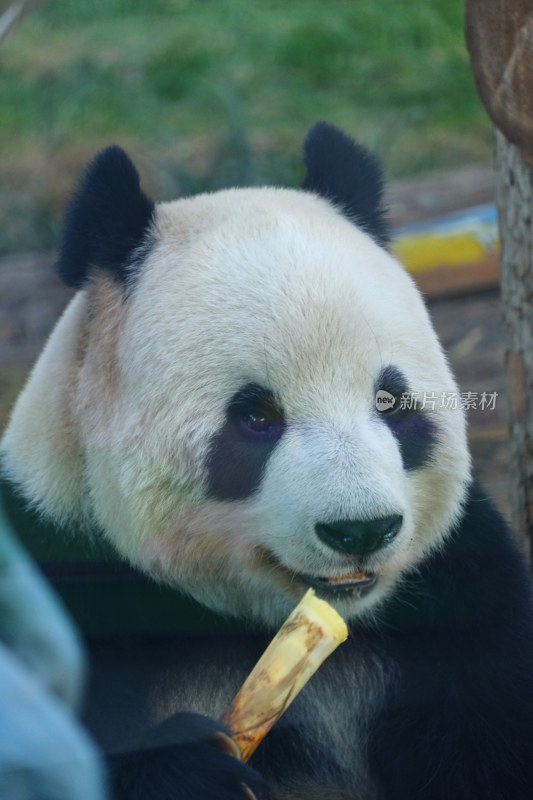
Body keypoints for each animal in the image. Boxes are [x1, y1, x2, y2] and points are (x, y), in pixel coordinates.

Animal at [1, 122, 532, 796]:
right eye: (256, 418)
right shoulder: (59, 573)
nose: (361, 530)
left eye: (389, 400)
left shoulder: (460, 602)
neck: (245, 625)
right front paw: (195, 771)